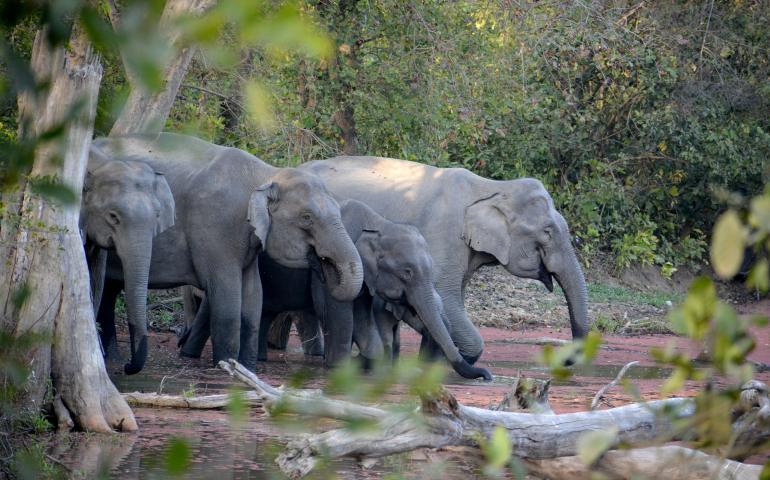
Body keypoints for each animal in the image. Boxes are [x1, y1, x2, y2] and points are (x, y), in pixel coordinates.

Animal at [90, 132, 363, 371]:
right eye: (307, 218)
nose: (323, 264)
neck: (266, 174)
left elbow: (253, 298)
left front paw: (248, 368)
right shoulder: (216, 227)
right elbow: (228, 299)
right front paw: (227, 367)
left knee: (108, 291)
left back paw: (114, 359)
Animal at [180, 199, 492, 381]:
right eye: (407, 272)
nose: (487, 375)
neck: (379, 223)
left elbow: (363, 316)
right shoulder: (331, 264)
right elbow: (337, 312)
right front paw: (340, 368)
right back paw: (190, 356)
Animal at [300, 156, 590, 364]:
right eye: (547, 232)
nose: (566, 361)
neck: (493, 187)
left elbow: (451, 298)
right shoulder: (444, 234)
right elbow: (446, 298)